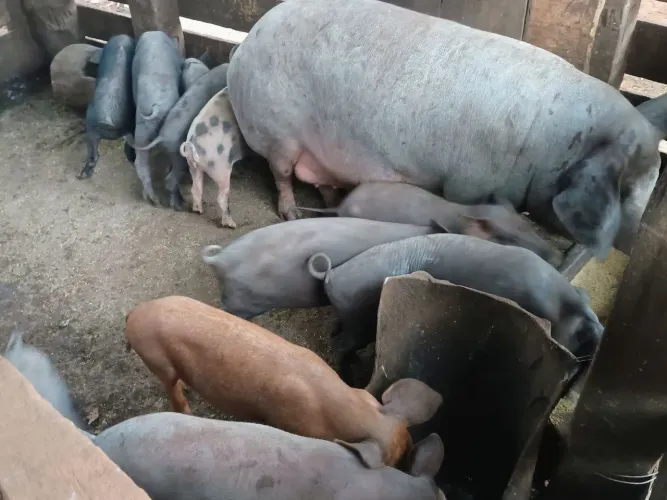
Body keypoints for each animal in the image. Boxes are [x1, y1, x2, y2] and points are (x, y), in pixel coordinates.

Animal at [180, 87, 246, 228]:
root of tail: (191, 144)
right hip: (220, 167)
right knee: (221, 197)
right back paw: (232, 225)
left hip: (194, 167)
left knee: (196, 188)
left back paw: (199, 211)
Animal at [308, 233, 604, 371]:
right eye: (581, 334)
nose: (600, 332)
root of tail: (333, 274)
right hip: (360, 321)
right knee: (341, 345)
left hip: (352, 317)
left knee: (339, 333)